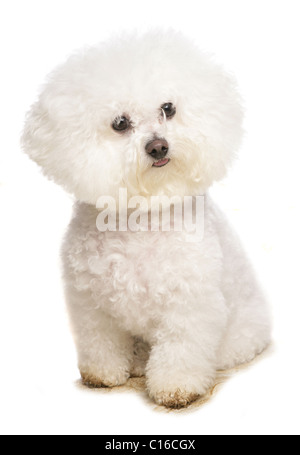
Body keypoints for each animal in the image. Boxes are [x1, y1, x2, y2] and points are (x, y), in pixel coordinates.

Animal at [22, 30, 270, 408]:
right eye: (120, 123)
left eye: (168, 109)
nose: (158, 146)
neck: (143, 215)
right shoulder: (91, 304)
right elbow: (101, 342)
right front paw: (103, 374)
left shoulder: (189, 304)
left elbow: (181, 349)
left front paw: (176, 387)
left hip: (239, 334)